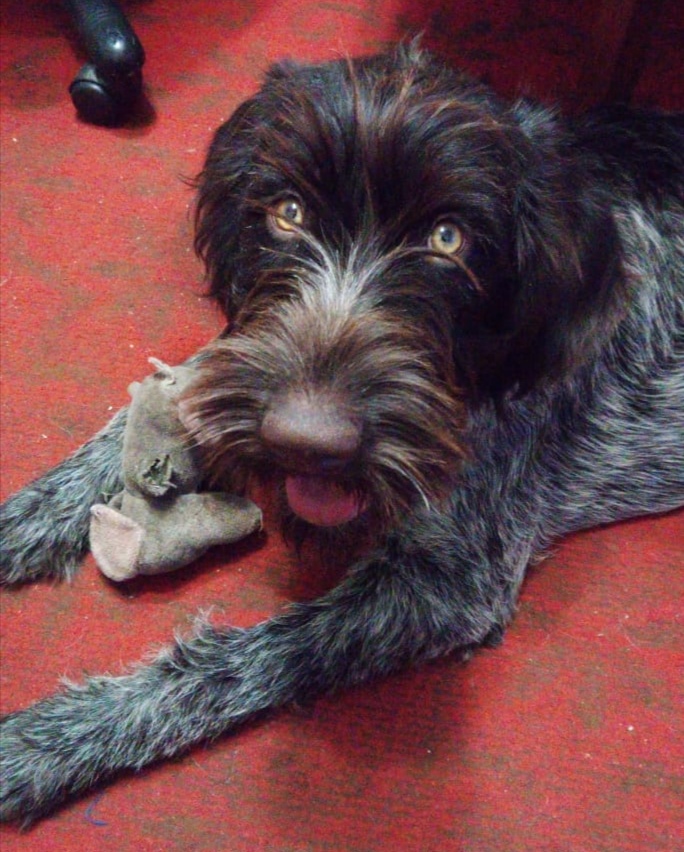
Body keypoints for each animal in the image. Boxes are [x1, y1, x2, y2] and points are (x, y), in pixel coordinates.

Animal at [1, 42, 683, 824]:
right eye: (288, 213)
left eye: (448, 238)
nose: (307, 442)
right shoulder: (248, 360)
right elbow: (162, 402)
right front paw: (23, 518)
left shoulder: (447, 584)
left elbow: (225, 665)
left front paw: (53, 740)